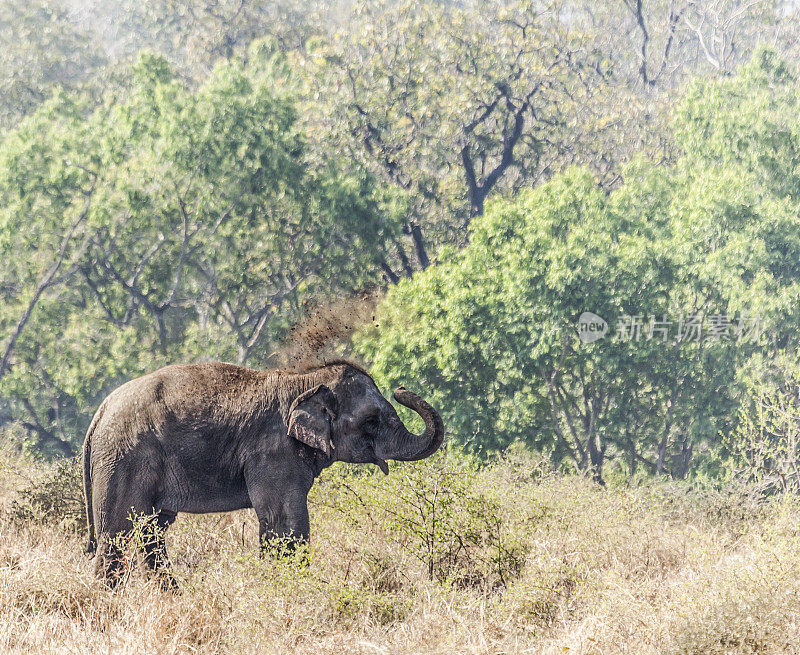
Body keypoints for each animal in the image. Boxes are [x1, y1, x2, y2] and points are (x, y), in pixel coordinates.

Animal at [83, 358, 444, 584]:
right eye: (371, 421)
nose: (401, 388)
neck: (305, 380)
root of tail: (99, 413)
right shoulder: (273, 451)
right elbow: (286, 523)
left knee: (151, 532)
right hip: (125, 458)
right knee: (117, 534)